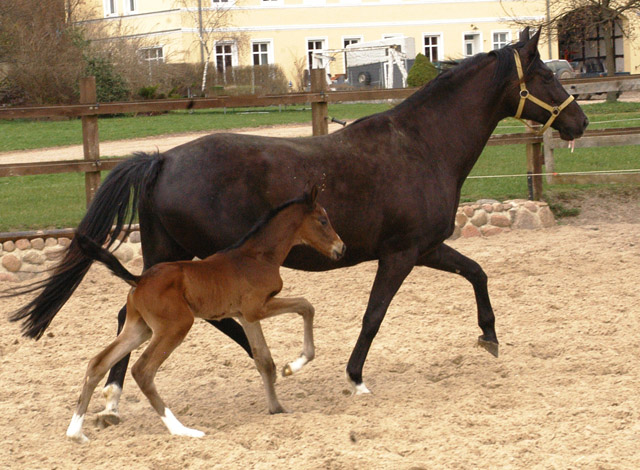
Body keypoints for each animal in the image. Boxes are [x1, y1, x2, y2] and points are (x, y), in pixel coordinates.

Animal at [65, 185, 344, 442]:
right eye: (323, 220)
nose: (340, 248)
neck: (258, 256)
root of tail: (139, 279)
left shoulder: (245, 316)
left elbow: (264, 360)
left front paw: (277, 408)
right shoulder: (258, 307)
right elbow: (306, 306)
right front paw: (295, 365)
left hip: (139, 328)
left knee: (98, 362)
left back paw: (76, 432)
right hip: (176, 326)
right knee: (143, 370)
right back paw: (181, 430)